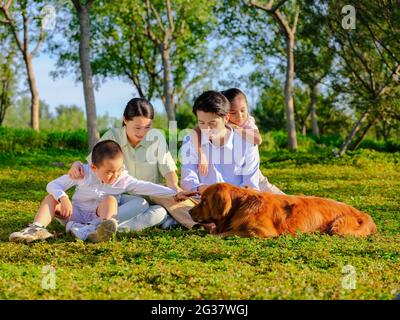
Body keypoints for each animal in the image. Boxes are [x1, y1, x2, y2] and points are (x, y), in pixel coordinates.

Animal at [189, 182, 376, 238]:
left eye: (204, 201)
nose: (190, 212)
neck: (240, 205)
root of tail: (363, 213)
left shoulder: (262, 231)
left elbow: (229, 232)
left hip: (338, 227)